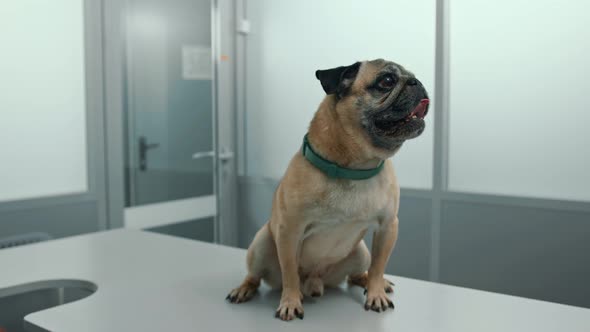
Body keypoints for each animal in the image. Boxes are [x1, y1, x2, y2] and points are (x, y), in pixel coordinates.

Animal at [227, 58, 430, 320]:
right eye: (387, 81)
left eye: (412, 76)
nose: (417, 82)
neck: (355, 168)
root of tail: (315, 279)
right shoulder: (289, 231)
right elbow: (290, 272)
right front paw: (290, 301)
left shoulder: (388, 226)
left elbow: (379, 266)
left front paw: (376, 292)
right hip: (261, 244)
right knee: (255, 276)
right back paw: (244, 289)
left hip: (361, 252)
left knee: (359, 274)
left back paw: (372, 283)